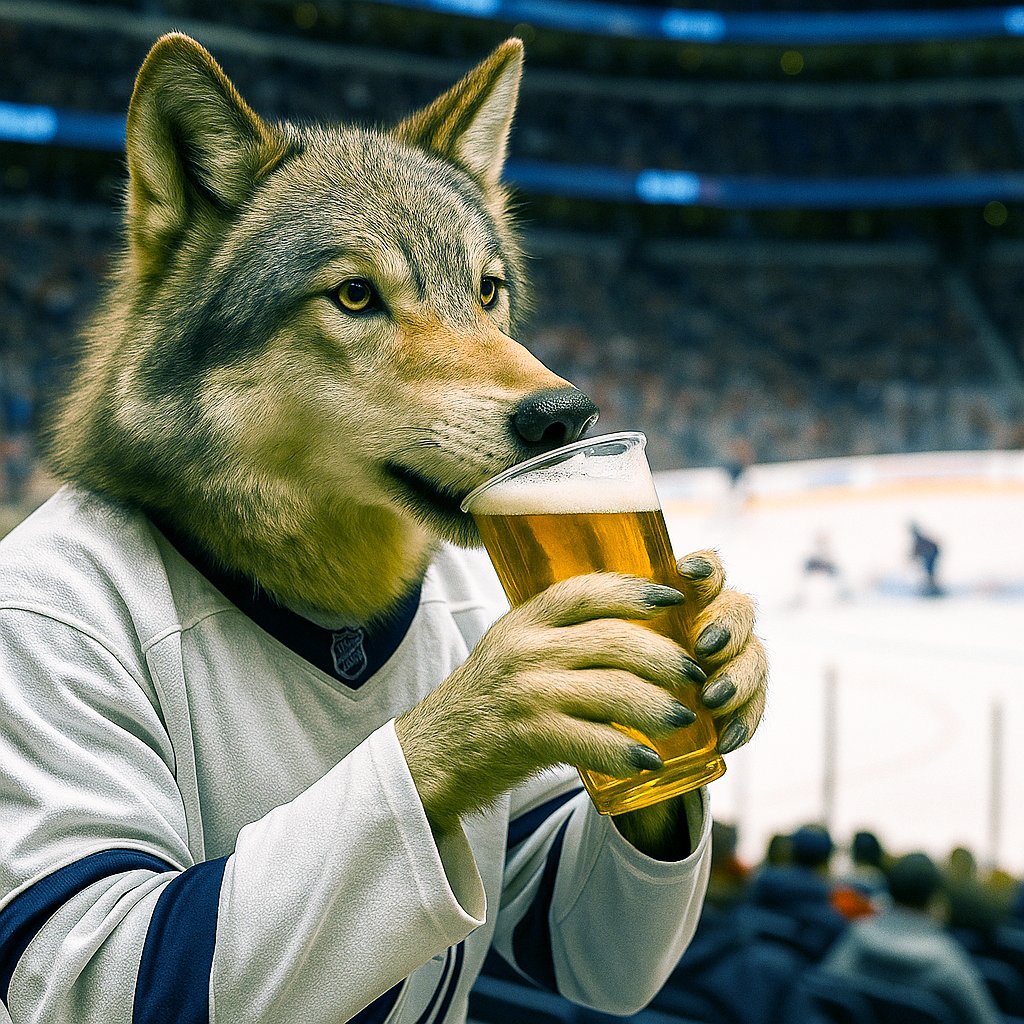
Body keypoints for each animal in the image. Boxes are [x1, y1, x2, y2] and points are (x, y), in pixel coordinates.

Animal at [0, 34, 766, 1024]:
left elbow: (567, 924)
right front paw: (496, 703)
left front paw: (726, 645)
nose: (567, 416)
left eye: (487, 291)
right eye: (357, 296)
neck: (334, 610)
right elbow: (112, 956)